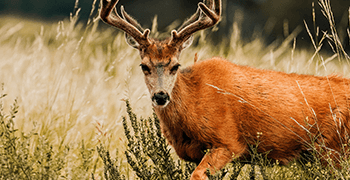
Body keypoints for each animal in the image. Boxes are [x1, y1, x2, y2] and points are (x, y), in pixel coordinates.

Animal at [99, 0, 350, 179]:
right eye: (144, 66)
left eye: (175, 66)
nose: (160, 96)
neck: (193, 102)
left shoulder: (228, 141)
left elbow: (197, 175)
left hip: (334, 147)